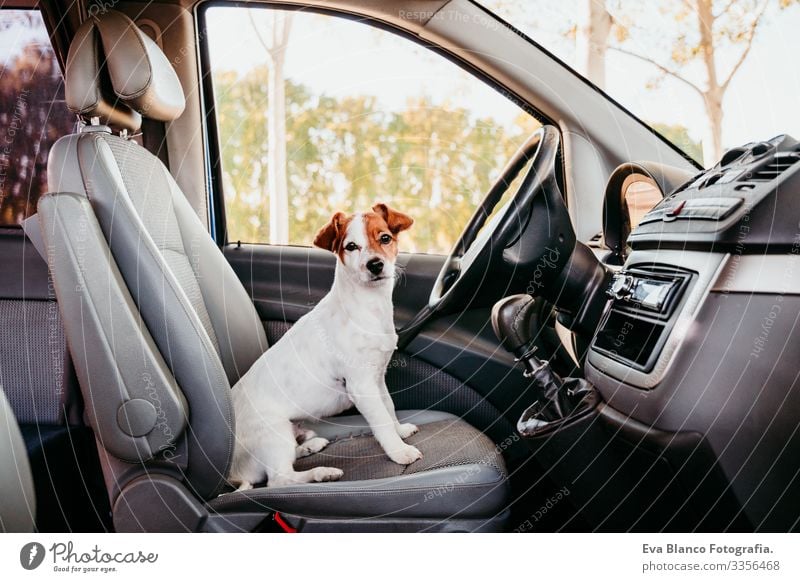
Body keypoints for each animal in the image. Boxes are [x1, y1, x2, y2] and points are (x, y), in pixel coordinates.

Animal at [228, 203, 422, 490]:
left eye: (385, 238)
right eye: (351, 246)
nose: (375, 265)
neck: (366, 307)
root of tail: (231, 473)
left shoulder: (378, 379)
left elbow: (389, 408)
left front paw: (400, 431)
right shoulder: (361, 386)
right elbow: (381, 421)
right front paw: (399, 451)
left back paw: (310, 446)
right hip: (274, 434)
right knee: (279, 479)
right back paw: (322, 473)